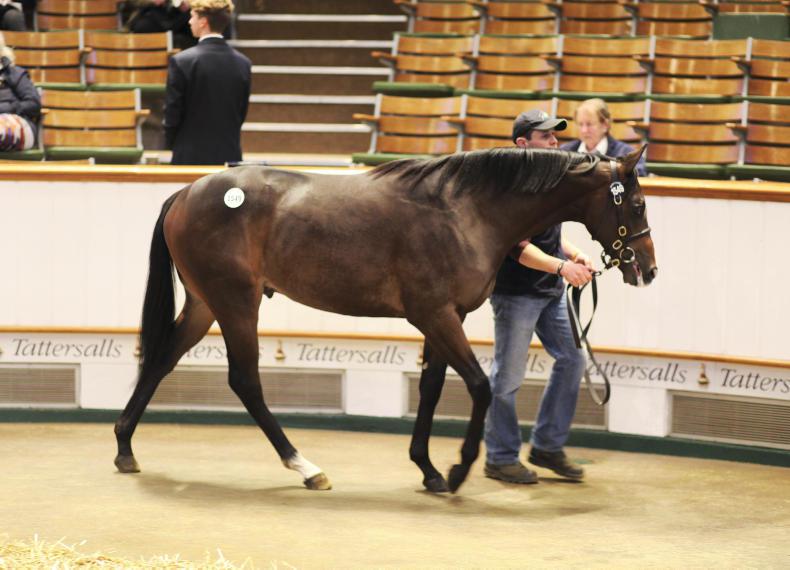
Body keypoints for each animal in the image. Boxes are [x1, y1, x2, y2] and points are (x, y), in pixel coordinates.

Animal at [114, 145, 657, 494]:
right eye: (636, 203)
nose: (647, 270)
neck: (465, 211)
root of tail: (186, 193)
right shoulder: (435, 315)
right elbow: (480, 386)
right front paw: (458, 469)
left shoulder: (444, 318)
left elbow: (432, 387)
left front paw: (429, 469)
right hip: (235, 302)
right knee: (245, 380)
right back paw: (305, 466)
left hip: (205, 303)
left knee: (161, 360)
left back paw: (124, 446)